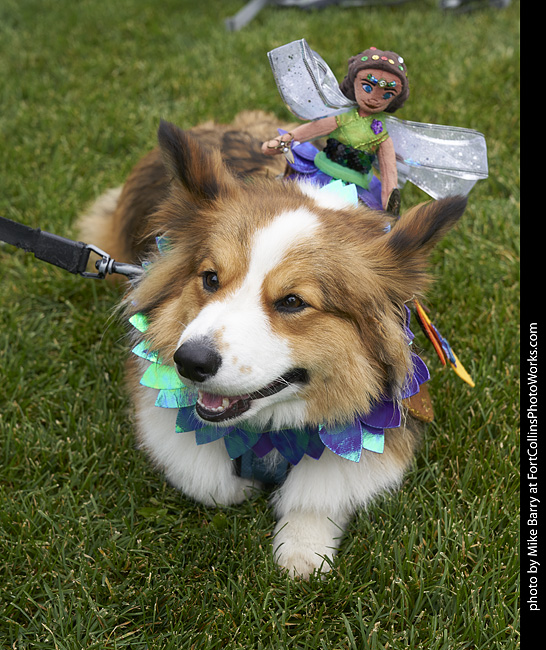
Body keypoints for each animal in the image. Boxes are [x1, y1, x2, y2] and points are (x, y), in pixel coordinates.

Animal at [78, 111, 466, 578]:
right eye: (210, 278)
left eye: (293, 301)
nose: (188, 361)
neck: (268, 432)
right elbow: (212, 485)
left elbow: (322, 491)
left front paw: (302, 547)